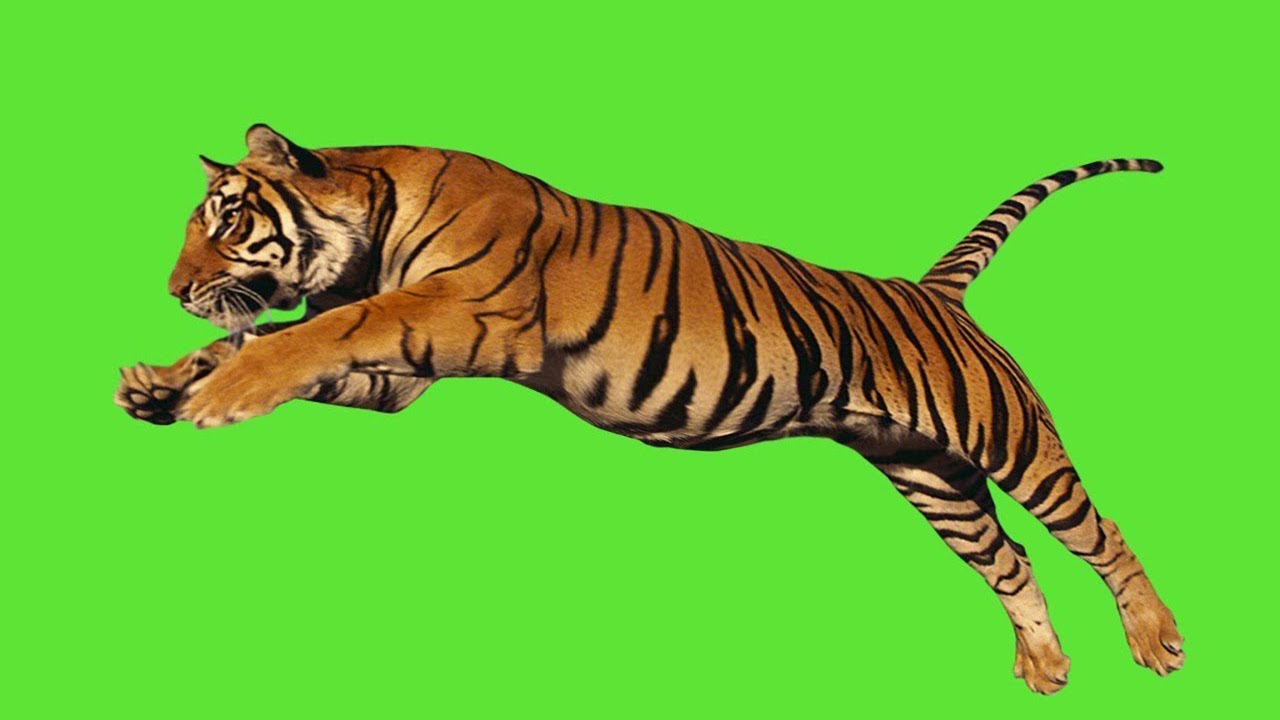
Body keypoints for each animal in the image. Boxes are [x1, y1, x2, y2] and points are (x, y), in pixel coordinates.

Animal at [115, 125, 1182, 694]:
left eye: (228, 223)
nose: (174, 288)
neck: (372, 226)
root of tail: (933, 292)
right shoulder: (403, 375)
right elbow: (279, 344)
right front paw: (164, 381)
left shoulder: (450, 311)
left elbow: (309, 334)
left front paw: (218, 393)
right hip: (931, 475)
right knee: (1009, 560)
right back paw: (1045, 665)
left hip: (1009, 440)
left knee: (1099, 533)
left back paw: (1156, 640)